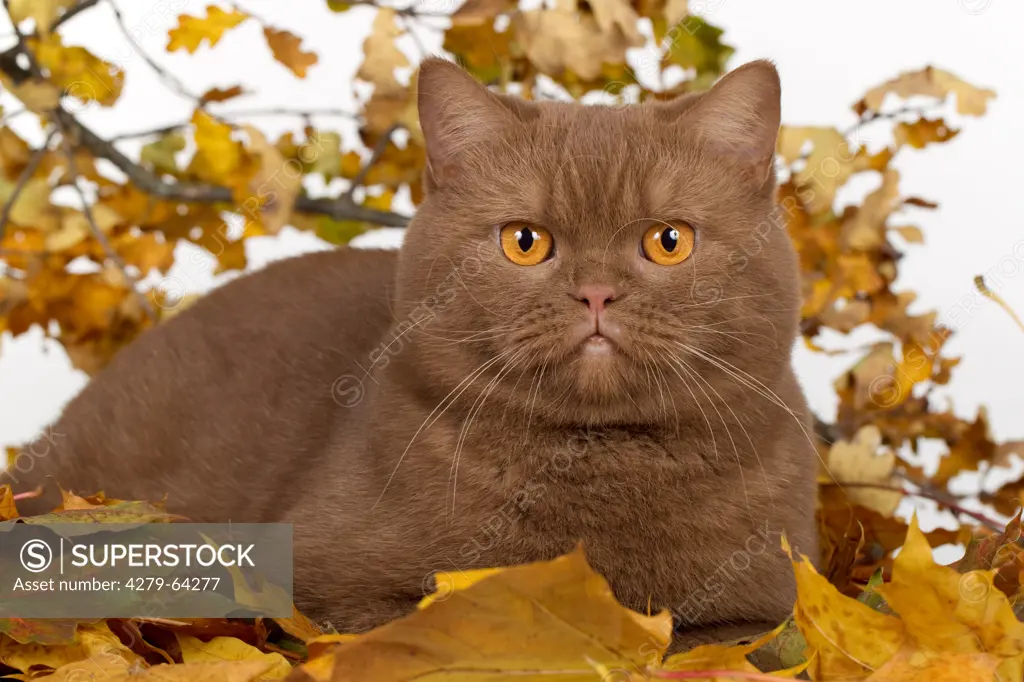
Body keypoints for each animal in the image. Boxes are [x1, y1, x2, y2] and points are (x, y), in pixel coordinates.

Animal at [12, 57, 815, 643]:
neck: (595, 466)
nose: (594, 293)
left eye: (667, 241)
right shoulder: (327, 583)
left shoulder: (767, 604)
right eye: (526, 242)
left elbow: (726, 642)